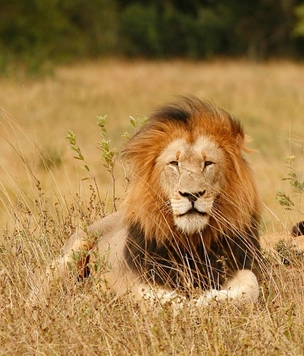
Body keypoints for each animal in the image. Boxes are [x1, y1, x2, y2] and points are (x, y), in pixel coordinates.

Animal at [32, 95, 262, 306]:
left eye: (208, 163)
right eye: (174, 163)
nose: (191, 194)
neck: (191, 241)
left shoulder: (236, 263)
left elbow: (251, 285)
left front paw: (208, 300)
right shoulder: (134, 277)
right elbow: (158, 299)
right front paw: (188, 305)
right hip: (71, 255)